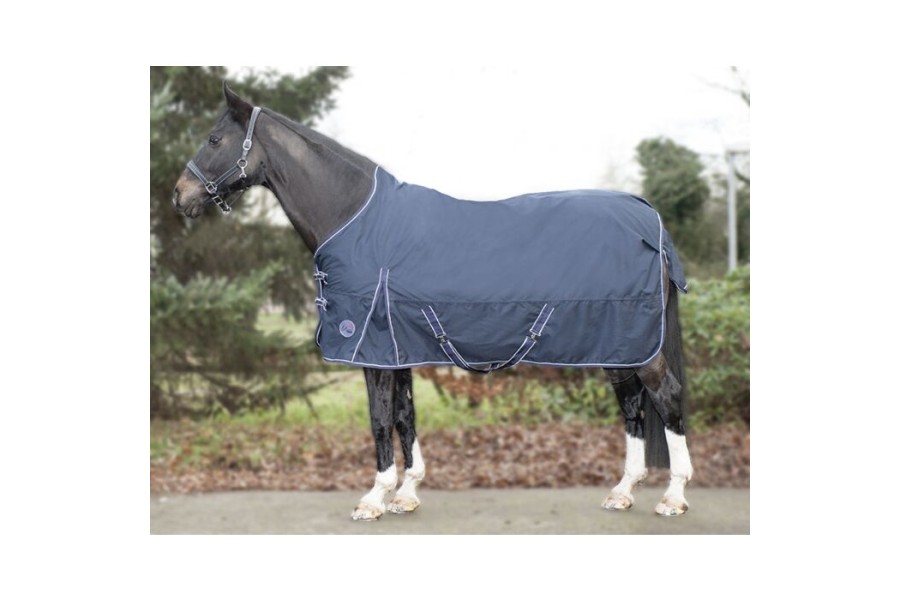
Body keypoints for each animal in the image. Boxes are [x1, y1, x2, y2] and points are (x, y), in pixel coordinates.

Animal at [171, 84, 693, 519]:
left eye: (215, 140)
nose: (180, 195)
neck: (358, 221)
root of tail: (650, 220)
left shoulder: (372, 350)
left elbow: (380, 419)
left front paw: (374, 497)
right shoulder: (397, 348)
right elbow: (405, 417)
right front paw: (406, 493)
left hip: (635, 343)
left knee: (665, 396)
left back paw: (673, 495)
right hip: (619, 344)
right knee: (632, 404)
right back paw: (622, 491)